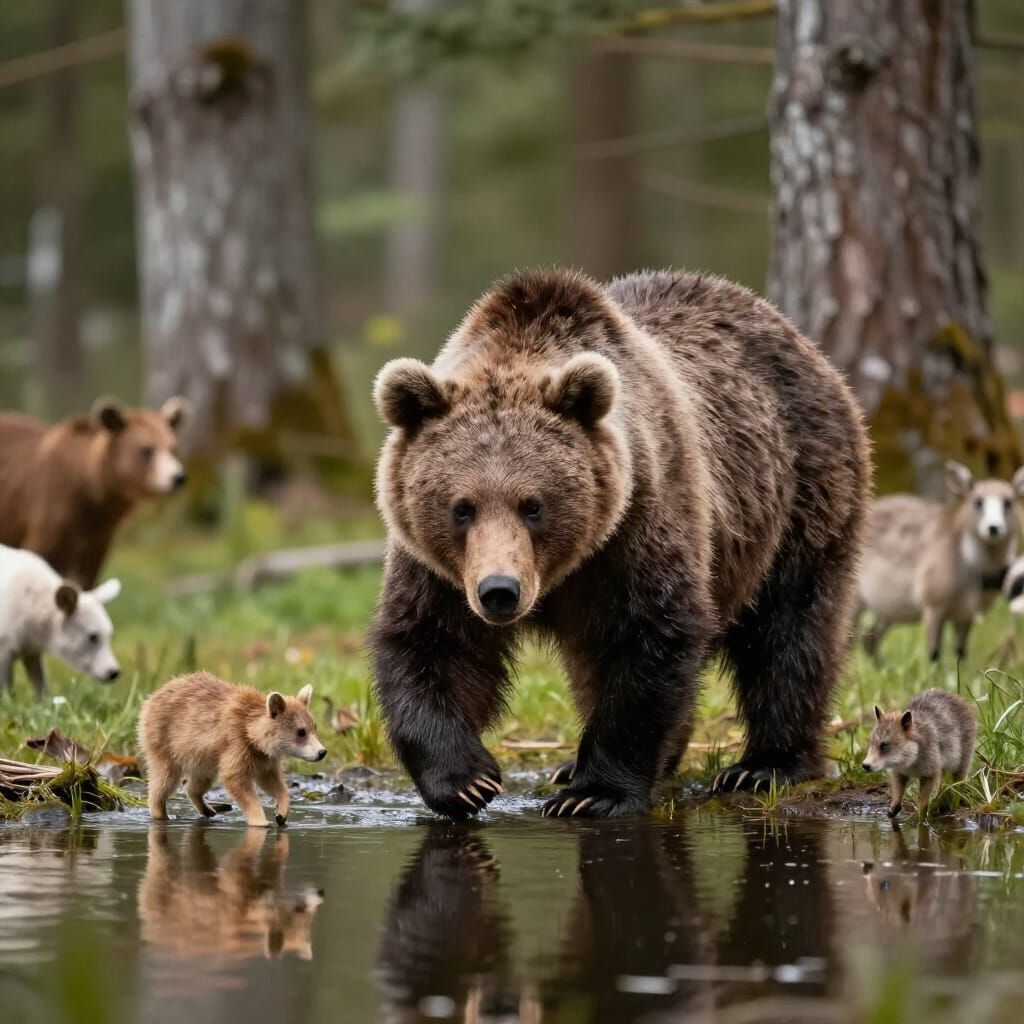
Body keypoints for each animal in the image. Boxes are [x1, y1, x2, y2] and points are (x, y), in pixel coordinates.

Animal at [0, 542, 121, 696]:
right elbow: (6, 688)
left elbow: (40, 683)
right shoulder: (4, 651)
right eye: (93, 637)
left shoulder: (31, 652)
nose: (114, 673)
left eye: (109, 636)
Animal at [370, 268, 870, 819]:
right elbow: (431, 641)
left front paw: (593, 793)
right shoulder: (438, 567)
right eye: (462, 507)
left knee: (790, 628)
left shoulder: (638, 521)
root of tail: (799, 339)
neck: (562, 572)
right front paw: (465, 780)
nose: (499, 591)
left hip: (798, 492)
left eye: (533, 505)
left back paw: (765, 766)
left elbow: (649, 637)